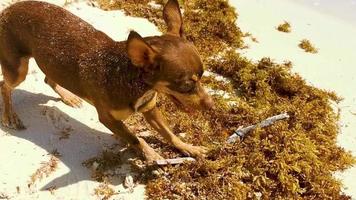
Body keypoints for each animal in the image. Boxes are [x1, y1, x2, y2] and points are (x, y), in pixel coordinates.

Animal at [0, 0, 213, 162]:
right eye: (186, 85)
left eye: (202, 76)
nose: (211, 106)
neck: (135, 83)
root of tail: (8, 9)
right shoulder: (108, 119)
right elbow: (135, 138)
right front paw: (150, 154)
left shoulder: (150, 109)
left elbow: (169, 134)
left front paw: (188, 147)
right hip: (18, 71)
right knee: (5, 86)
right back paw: (10, 115)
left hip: (51, 62)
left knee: (47, 78)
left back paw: (68, 96)